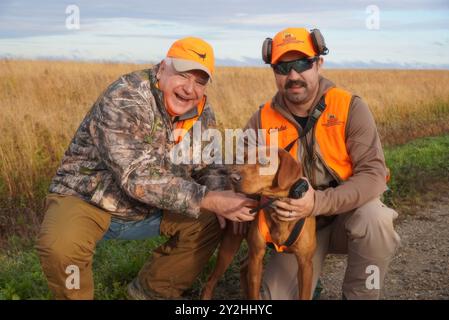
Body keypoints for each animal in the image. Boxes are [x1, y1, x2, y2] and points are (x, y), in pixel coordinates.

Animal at [201, 148, 316, 300]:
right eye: (244, 159)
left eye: (263, 161)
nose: (233, 177)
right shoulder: (257, 257)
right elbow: (254, 288)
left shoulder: (306, 264)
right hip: (229, 247)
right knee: (210, 281)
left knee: (243, 266)